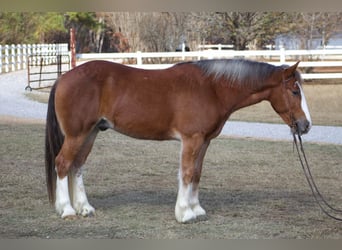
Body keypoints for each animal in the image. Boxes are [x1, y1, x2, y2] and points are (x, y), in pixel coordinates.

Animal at [44, 58, 312, 223]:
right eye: (294, 90)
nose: (306, 125)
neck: (212, 88)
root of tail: (63, 78)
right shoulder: (191, 140)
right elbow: (187, 173)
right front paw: (185, 213)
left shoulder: (204, 141)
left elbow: (197, 174)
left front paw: (197, 210)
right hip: (77, 135)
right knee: (63, 164)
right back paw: (67, 210)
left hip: (90, 133)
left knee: (77, 167)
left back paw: (84, 208)